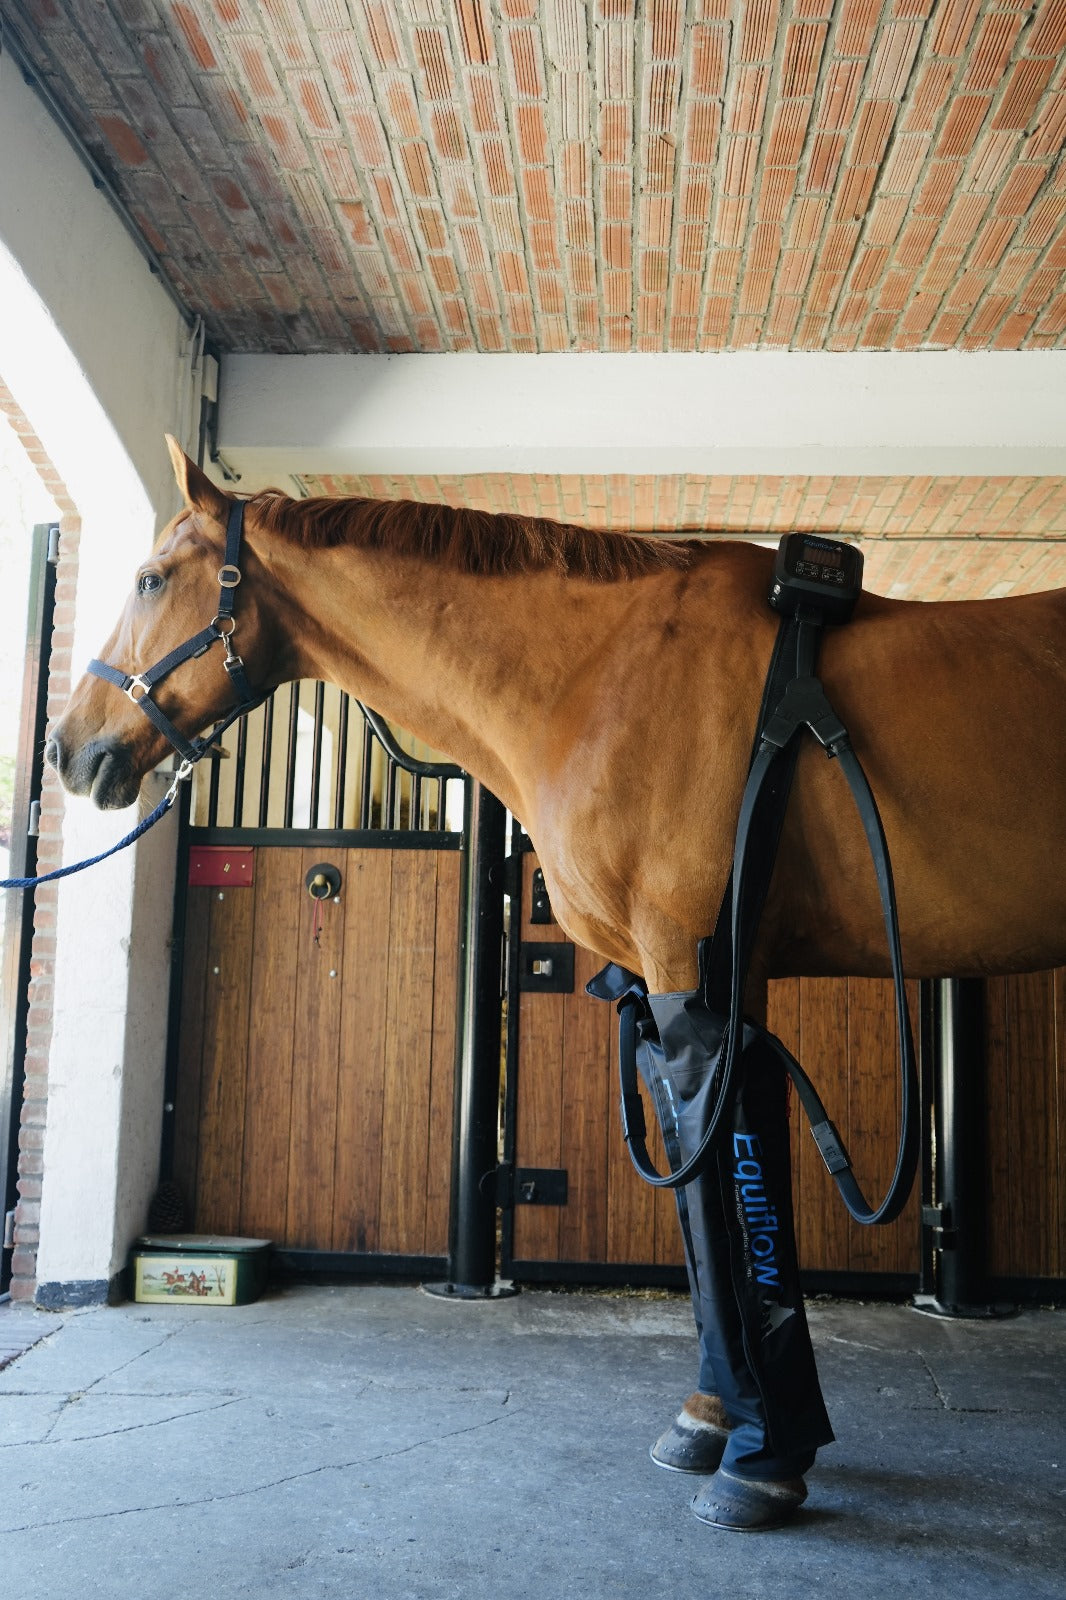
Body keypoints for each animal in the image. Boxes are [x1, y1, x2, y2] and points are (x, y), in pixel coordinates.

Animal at [46, 437, 1066, 1527]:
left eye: (153, 578)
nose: (70, 748)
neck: (600, 677)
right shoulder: (680, 992)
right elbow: (700, 1221)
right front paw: (709, 1421)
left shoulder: (696, 979)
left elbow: (731, 1201)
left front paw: (762, 1459)